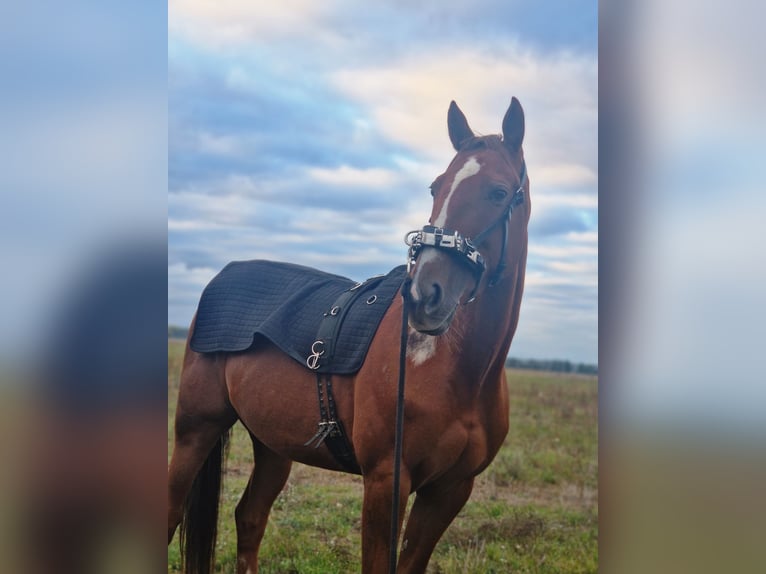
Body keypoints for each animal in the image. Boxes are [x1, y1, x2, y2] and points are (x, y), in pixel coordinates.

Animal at [168, 97, 531, 574]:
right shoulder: (386, 482)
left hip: (272, 444)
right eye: (436, 188)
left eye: (499, 193)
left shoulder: (448, 492)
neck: (458, 371)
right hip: (196, 429)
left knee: (249, 517)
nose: (424, 296)